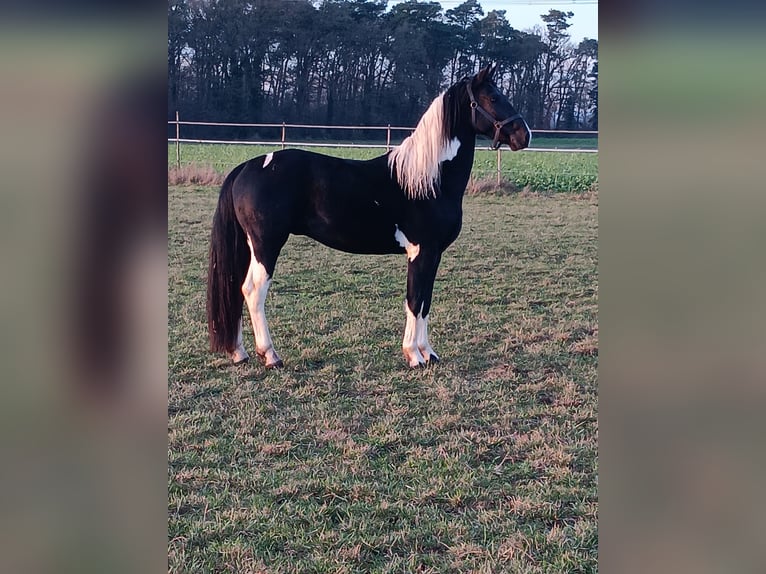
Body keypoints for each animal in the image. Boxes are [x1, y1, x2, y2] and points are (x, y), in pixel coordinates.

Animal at [210, 63, 536, 368]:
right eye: (493, 97)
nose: (525, 135)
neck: (430, 178)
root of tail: (248, 166)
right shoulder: (421, 251)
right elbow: (414, 301)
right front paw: (414, 356)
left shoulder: (432, 254)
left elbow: (425, 301)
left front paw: (429, 353)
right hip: (267, 244)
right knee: (253, 291)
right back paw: (270, 355)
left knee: (238, 289)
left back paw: (239, 353)